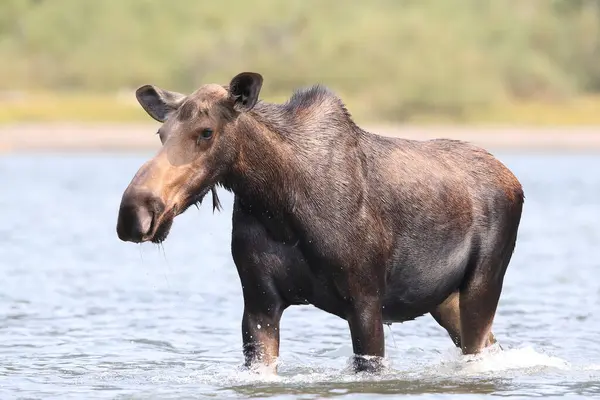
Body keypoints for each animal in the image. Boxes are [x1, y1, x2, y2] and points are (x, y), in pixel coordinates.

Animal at [115, 71, 524, 372]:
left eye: (206, 132)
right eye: (161, 133)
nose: (135, 212)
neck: (278, 202)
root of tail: (514, 181)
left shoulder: (366, 301)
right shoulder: (259, 303)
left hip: (482, 284)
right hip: (444, 301)